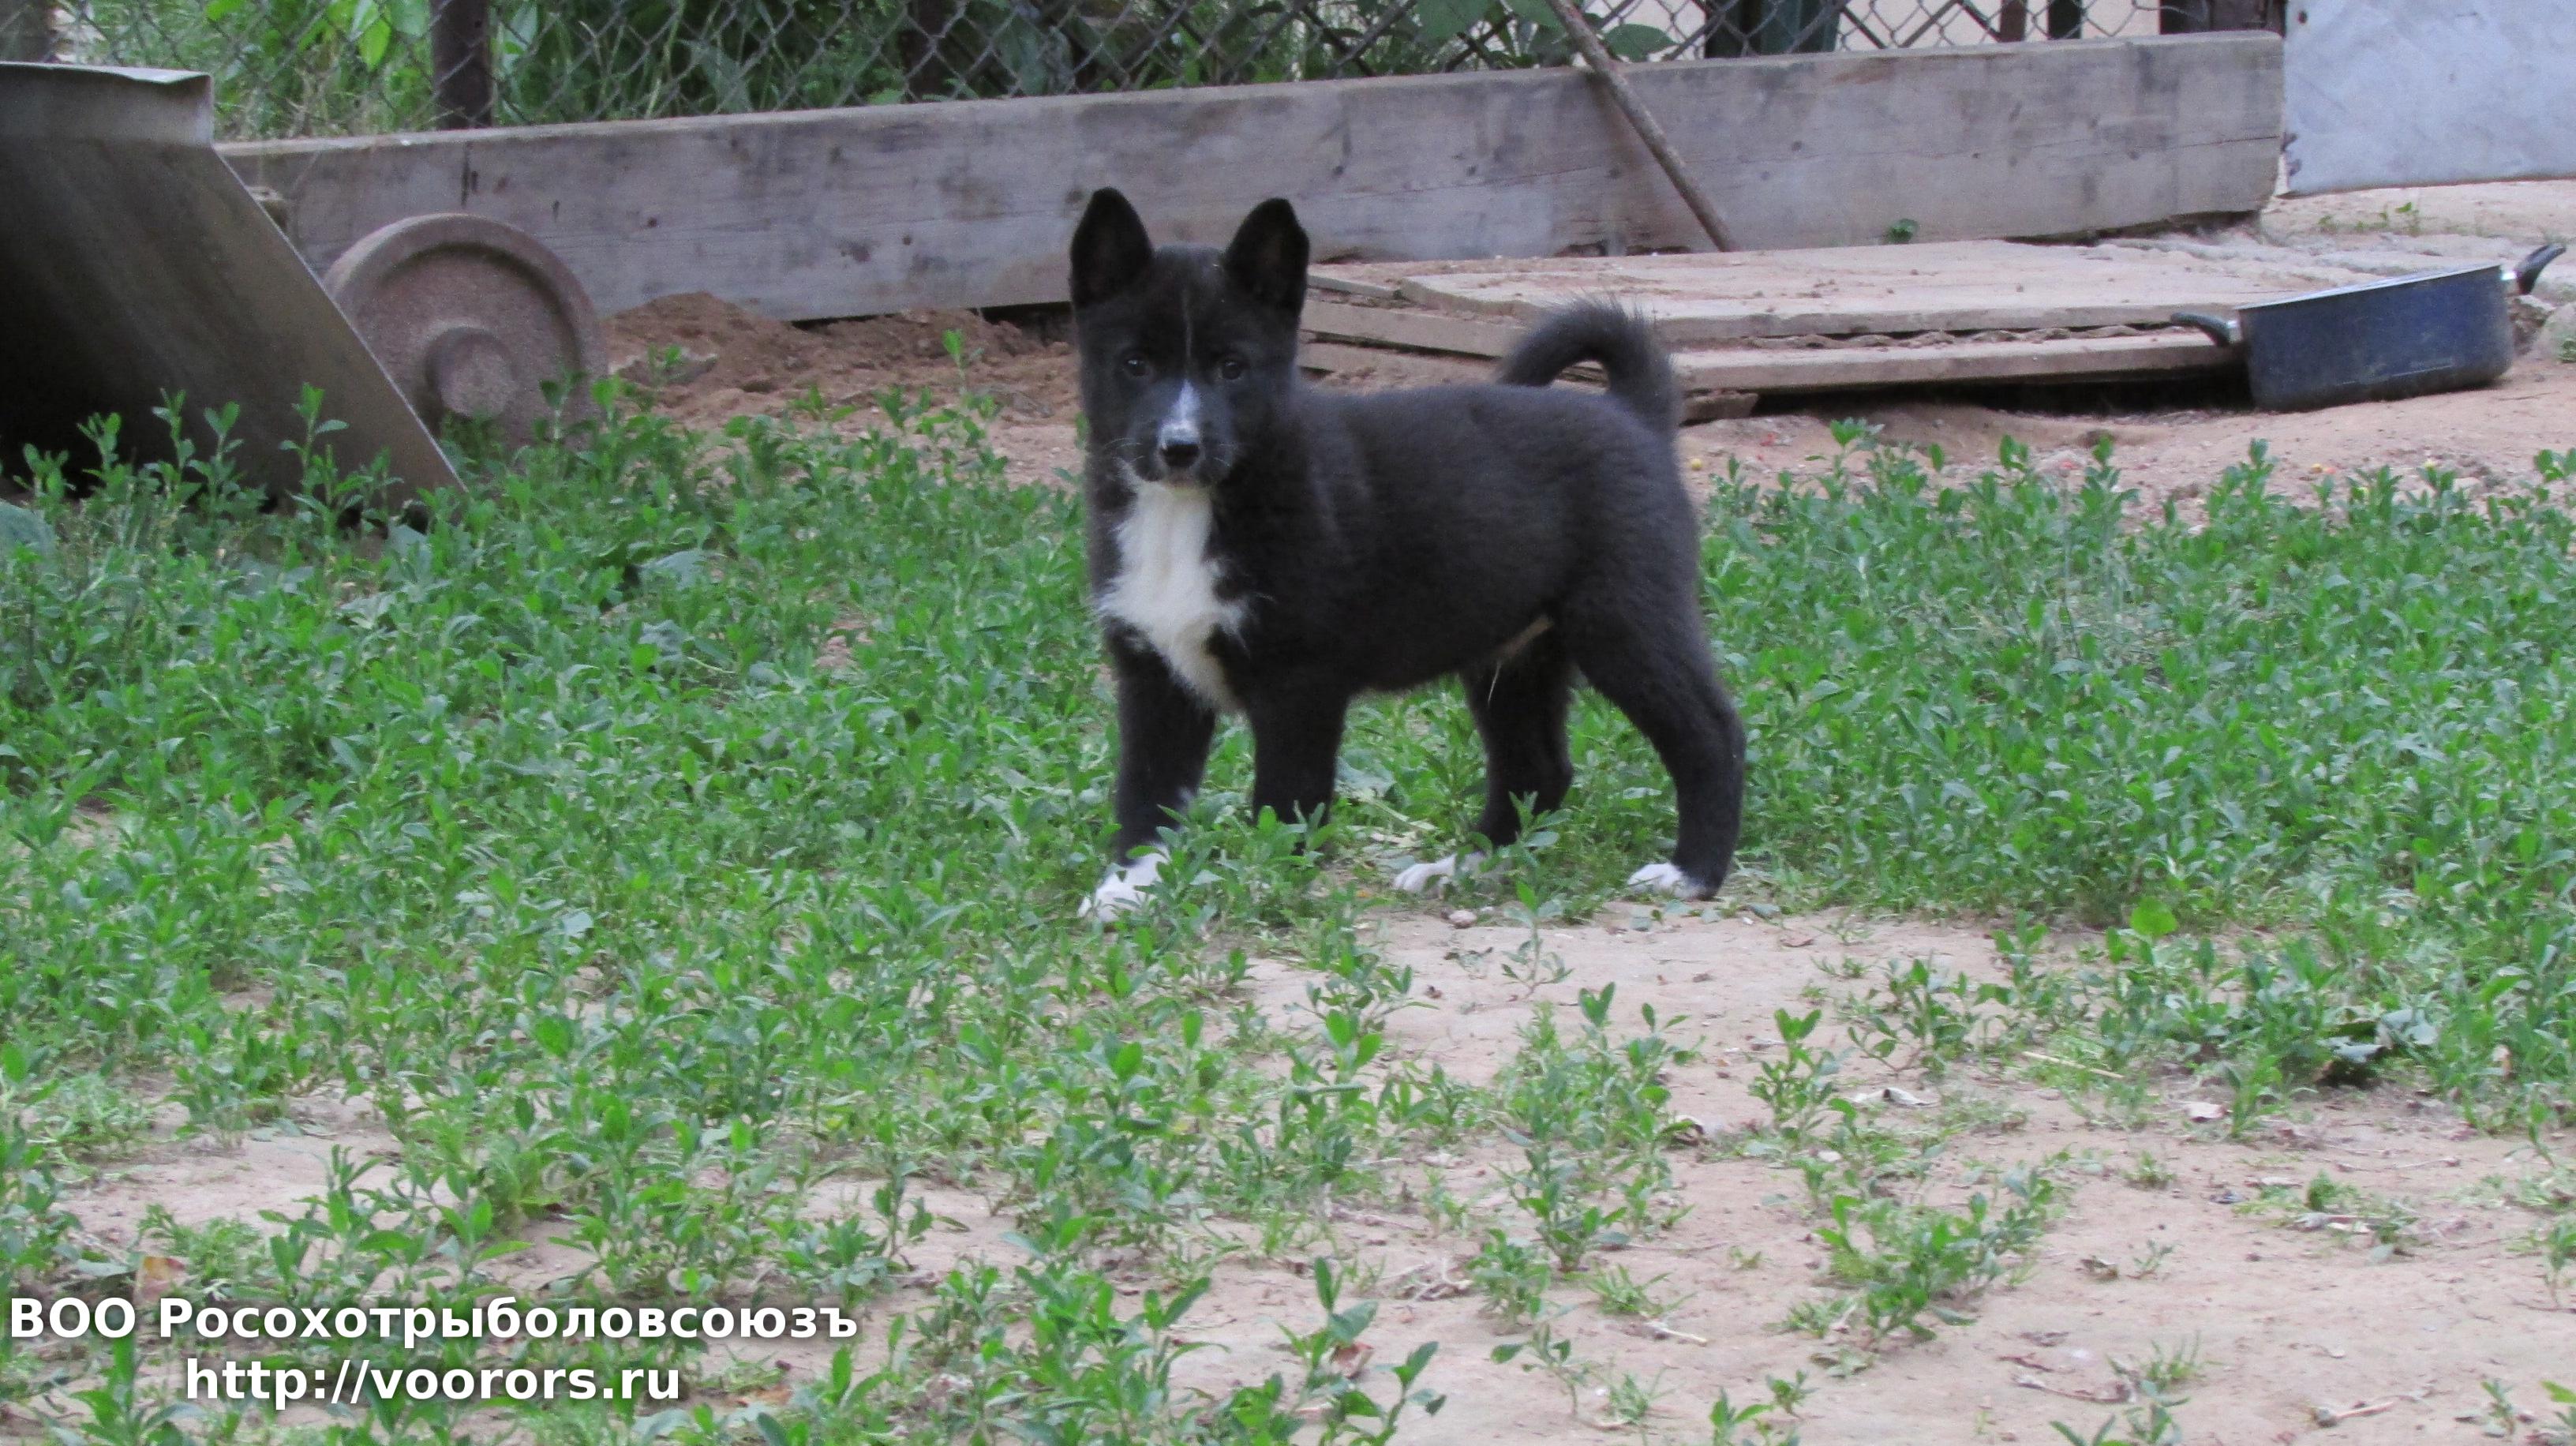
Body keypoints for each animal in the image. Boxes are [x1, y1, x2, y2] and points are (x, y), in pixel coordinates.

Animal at [1068, 187, 1745, 919]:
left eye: (1231, 367)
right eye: (1135, 365)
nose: (1180, 447)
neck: (1187, 513)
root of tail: (1632, 415)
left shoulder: (1299, 680)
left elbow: (1286, 800)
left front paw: (1268, 882)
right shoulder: (1153, 671)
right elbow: (1146, 796)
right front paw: (1126, 889)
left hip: (1624, 618)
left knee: (1712, 734)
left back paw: (1692, 873)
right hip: (1515, 654)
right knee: (1537, 769)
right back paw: (1463, 866)